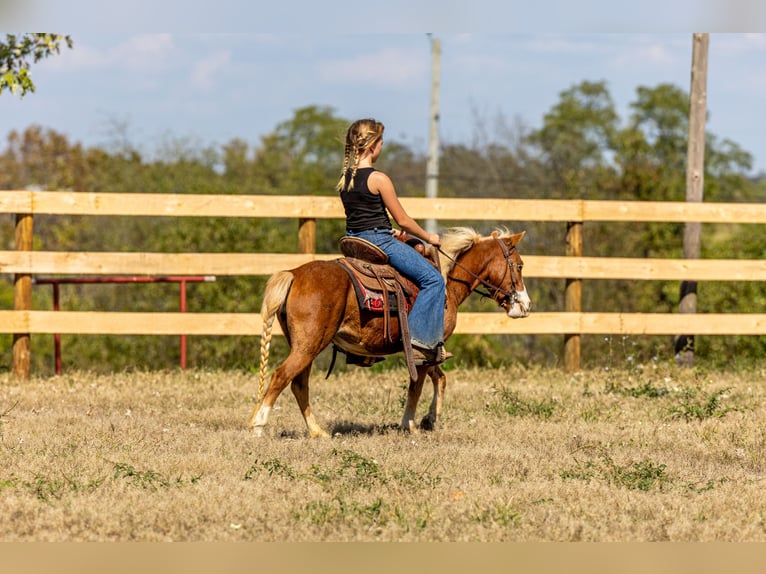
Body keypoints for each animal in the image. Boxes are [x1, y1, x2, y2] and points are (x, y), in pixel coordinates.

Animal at [247, 227, 531, 437]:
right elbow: (417, 386)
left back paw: (317, 431)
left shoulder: (430, 349)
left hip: (306, 345)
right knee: (281, 376)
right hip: (309, 344)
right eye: (519, 265)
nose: (525, 305)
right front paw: (410, 425)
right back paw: (258, 426)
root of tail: (293, 273)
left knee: (299, 384)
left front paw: (430, 419)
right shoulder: (423, 348)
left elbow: (439, 378)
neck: (446, 285)